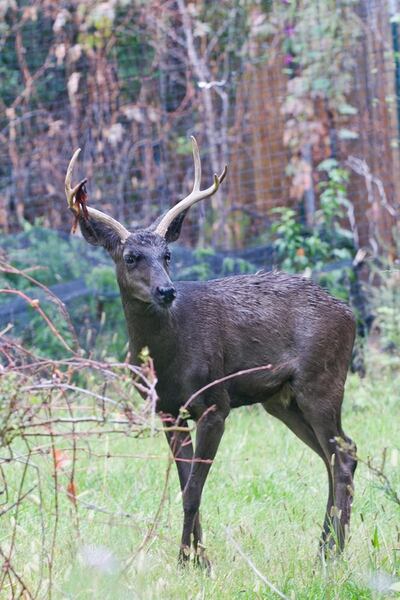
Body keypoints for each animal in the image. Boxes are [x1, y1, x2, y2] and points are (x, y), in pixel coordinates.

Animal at [65, 138, 356, 568]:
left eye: (168, 255)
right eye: (130, 257)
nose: (166, 291)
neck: (167, 358)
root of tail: (350, 314)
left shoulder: (215, 403)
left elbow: (192, 490)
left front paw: (189, 559)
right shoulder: (167, 411)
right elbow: (186, 484)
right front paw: (195, 557)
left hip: (321, 380)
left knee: (344, 455)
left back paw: (332, 553)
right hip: (281, 400)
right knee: (331, 457)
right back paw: (323, 547)